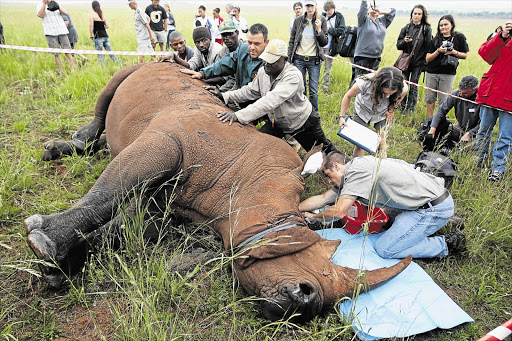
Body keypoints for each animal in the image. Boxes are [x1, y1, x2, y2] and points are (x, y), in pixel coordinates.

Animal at [27, 63, 412, 322]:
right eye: (299, 236)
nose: (308, 302)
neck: (250, 180)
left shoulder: (175, 205)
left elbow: (128, 228)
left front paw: (59, 268)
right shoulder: (170, 141)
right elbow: (110, 193)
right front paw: (42, 244)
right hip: (145, 70)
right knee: (111, 91)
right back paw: (67, 146)